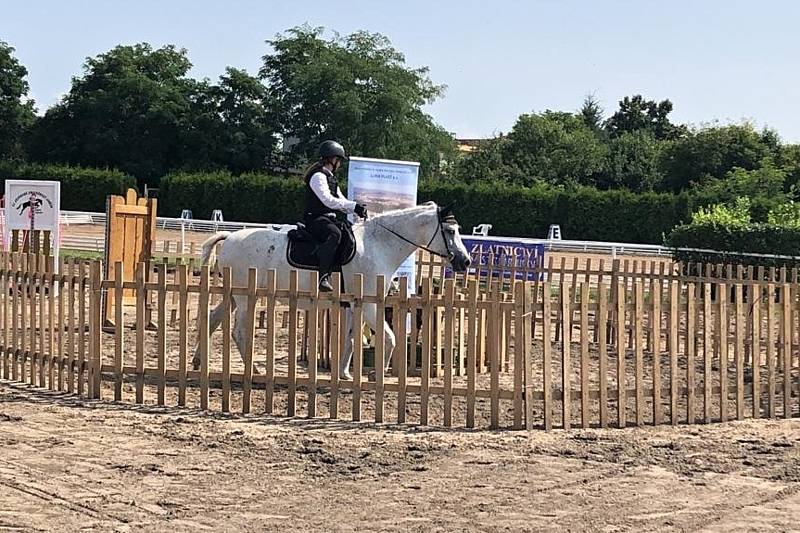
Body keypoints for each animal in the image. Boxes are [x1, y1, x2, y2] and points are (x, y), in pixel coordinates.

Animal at [193, 200, 472, 378]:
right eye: (450, 230)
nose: (466, 261)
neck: (378, 245)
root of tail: (229, 237)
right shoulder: (369, 305)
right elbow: (389, 338)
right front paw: (377, 374)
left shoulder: (354, 305)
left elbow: (350, 338)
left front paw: (344, 373)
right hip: (244, 297)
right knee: (239, 331)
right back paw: (252, 369)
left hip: (233, 295)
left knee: (213, 319)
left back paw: (197, 362)